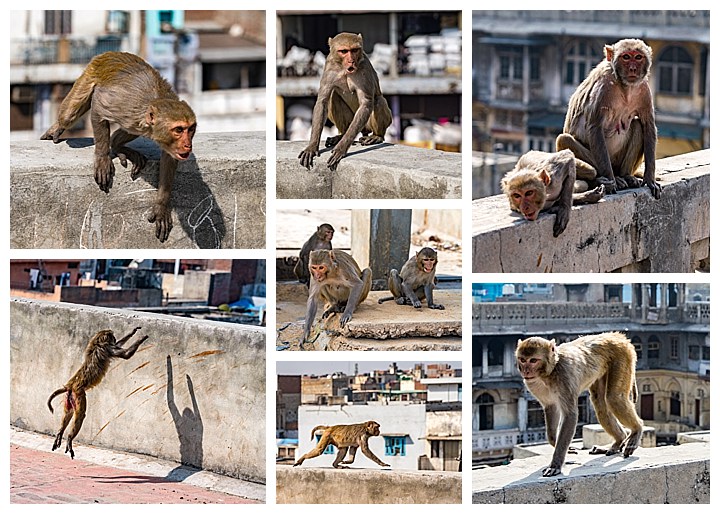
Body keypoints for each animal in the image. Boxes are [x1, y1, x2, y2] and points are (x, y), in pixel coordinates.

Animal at [39, 51, 197, 243]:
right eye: (179, 130)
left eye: (191, 128)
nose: (187, 144)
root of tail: (110, 54)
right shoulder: (121, 104)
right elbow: (98, 107)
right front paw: (102, 157)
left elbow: (169, 158)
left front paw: (161, 205)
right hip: (89, 75)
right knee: (68, 115)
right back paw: (59, 127)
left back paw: (117, 144)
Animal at [46, 324, 149, 456]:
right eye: (112, 336)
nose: (114, 338)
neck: (97, 342)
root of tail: (71, 385)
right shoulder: (108, 348)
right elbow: (126, 354)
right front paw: (142, 338)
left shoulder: (108, 347)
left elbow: (120, 346)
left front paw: (132, 332)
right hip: (78, 394)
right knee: (80, 415)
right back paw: (69, 438)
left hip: (69, 397)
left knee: (68, 413)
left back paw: (60, 433)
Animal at [296, 33, 390, 171]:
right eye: (344, 51)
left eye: (354, 50)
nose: (351, 61)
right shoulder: (329, 67)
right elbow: (323, 101)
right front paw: (312, 146)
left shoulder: (364, 68)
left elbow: (366, 104)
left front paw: (341, 149)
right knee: (333, 97)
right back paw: (341, 135)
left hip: (368, 124)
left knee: (378, 101)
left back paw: (377, 136)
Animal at [516, 332, 644, 476]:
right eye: (522, 359)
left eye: (533, 360)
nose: (525, 371)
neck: (549, 373)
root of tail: (617, 336)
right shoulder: (534, 385)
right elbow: (551, 407)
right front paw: (556, 442)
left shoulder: (565, 378)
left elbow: (570, 415)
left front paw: (555, 464)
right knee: (600, 404)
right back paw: (619, 441)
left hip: (622, 356)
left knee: (614, 398)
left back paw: (636, 430)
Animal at [556, 37, 664, 198]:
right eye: (626, 57)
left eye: (638, 57)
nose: (633, 68)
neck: (625, 86)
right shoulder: (604, 87)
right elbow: (595, 127)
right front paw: (611, 182)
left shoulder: (643, 88)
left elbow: (648, 125)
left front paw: (650, 179)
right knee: (564, 139)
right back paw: (608, 179)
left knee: (637, 125)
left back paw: (626, 176)